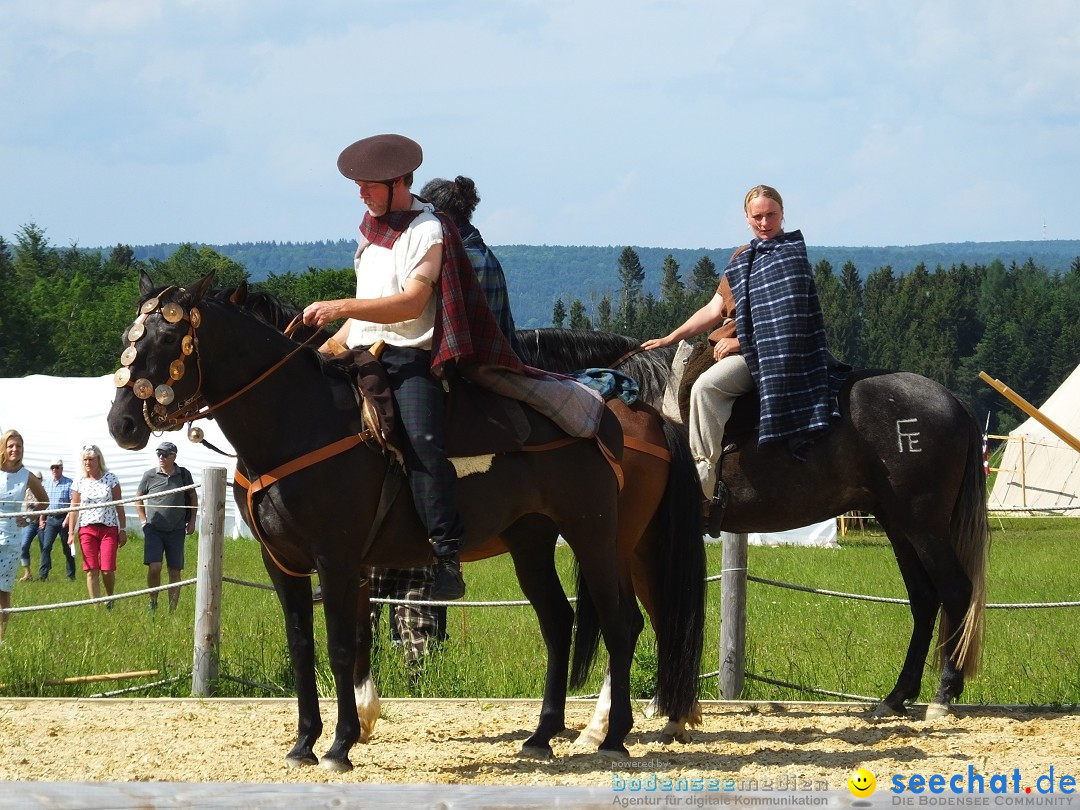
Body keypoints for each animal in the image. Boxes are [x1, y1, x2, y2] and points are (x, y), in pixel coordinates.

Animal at [105, 278, 695, 773]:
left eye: (167, 338)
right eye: (129, 337)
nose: (122, 424)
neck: (299, 420)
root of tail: (622, 415)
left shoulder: (338, 559)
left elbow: (343, 644)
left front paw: (341, 744)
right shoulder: (286, 566)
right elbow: (304, 647)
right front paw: (305, 742)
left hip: (599, 538)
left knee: (622, 623)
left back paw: (612, 736)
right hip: (532, 542)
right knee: (559, 622)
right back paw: (542, 735)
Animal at [518, 326, 989, 721]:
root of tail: (953, 401)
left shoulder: (639, 540)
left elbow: (650, 613)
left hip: (923, 526)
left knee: (955, 591)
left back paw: (944, 693)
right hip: (898, 524)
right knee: (925, 600)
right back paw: (896, 696)